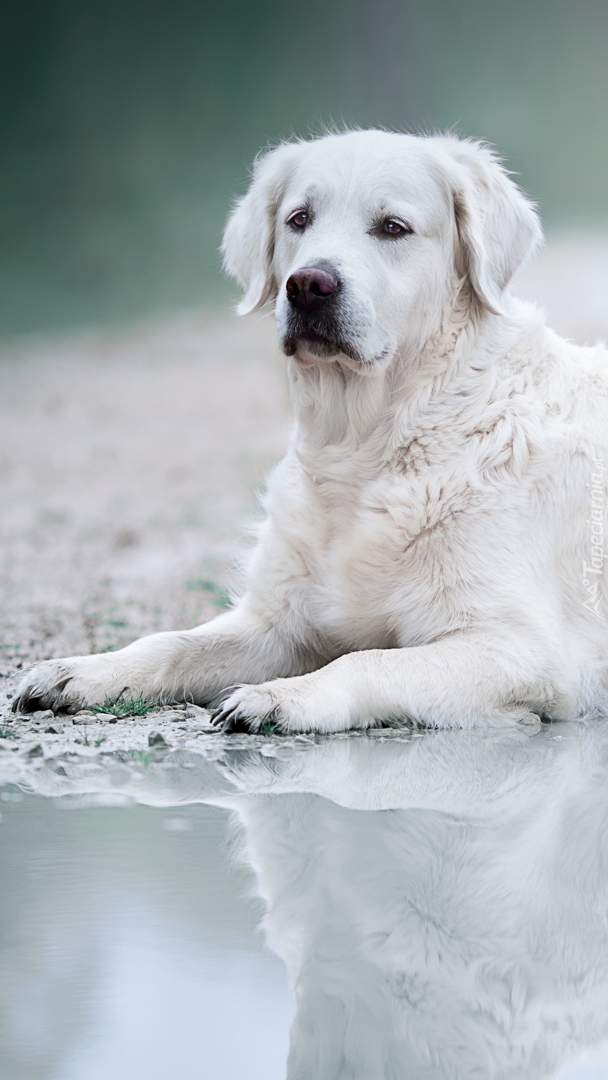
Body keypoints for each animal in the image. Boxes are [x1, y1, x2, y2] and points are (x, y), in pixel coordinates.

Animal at [11, 128, 608, 734]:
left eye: (393, 227)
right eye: (299, 219)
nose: (308, 284)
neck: (368, 442)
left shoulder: (522, 647)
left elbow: (367, 659)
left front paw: (279, 697)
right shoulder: (276, 623)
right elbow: (172, 643)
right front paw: (85, 669)